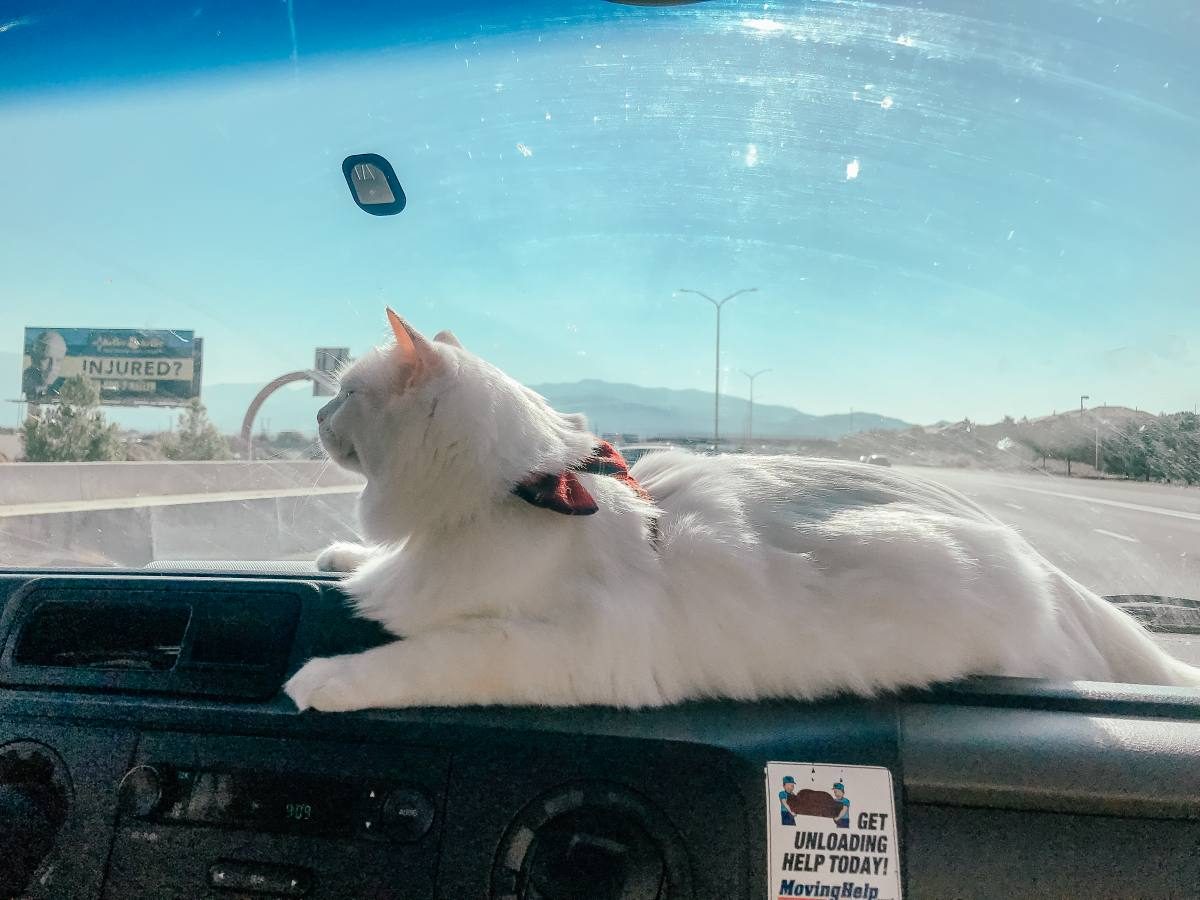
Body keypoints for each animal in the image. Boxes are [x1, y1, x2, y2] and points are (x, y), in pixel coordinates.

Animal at [283, 309, 1200, 710]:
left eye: (349, 395)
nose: (318, 417)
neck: (521, 490)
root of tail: (1047, 566)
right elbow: (373, 573)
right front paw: (337, 556)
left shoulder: (563, 648)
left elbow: (418, 660)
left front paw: (322, 680)